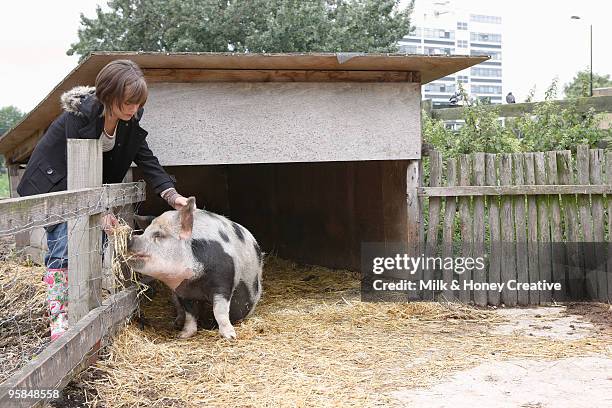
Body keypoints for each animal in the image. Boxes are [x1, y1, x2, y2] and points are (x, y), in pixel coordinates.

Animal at [128, 198, 262, 338]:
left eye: (159, 235)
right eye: (145, 231)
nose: (129, 239)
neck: (195, 280)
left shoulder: (224, 281)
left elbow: (219, 311)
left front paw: (230, 336)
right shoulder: (183, 291)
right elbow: (190, 314)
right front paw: (182, 335)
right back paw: (177, 323)